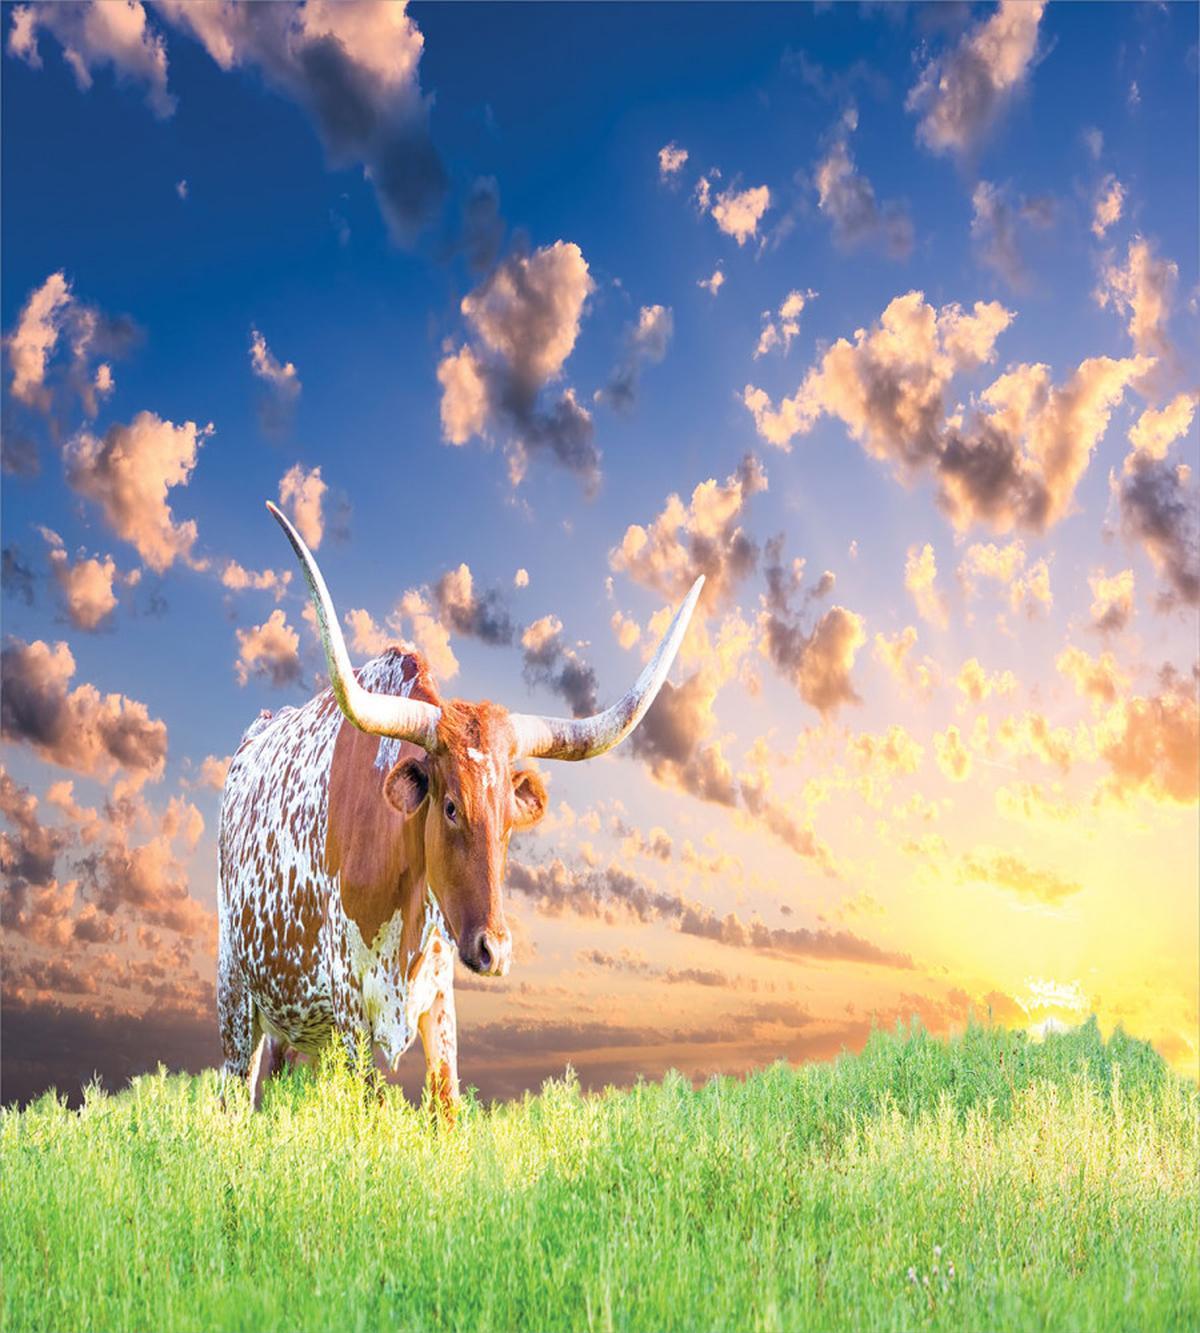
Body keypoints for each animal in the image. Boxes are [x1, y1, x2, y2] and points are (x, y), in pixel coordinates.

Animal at [217, 501, 703, 1114]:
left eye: (509, 820)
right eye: (449, 807)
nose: (494, 950)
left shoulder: (439, 994)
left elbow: (446, 1103)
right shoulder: (349, 1008)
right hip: (236, 1000)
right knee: (235, 1096)